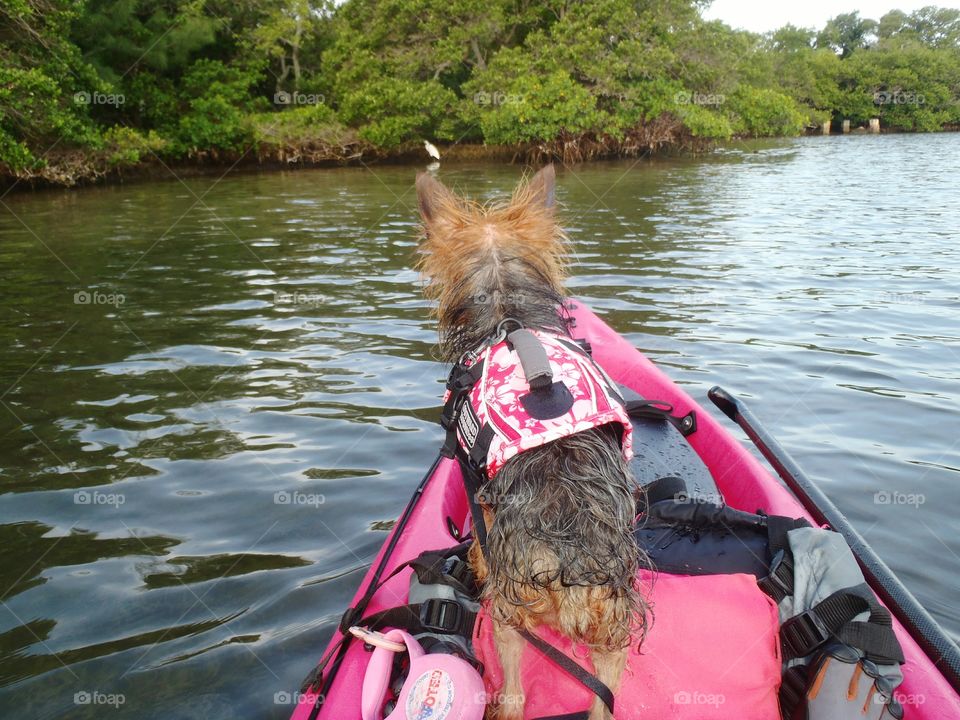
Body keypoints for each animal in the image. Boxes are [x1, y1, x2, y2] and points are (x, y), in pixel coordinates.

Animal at [414, 166, 648, 716]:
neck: (509, 309)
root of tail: (570, 558)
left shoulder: (476, 486)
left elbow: (478, 540)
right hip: (612, 629)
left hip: (507, 616)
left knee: (516, 692)